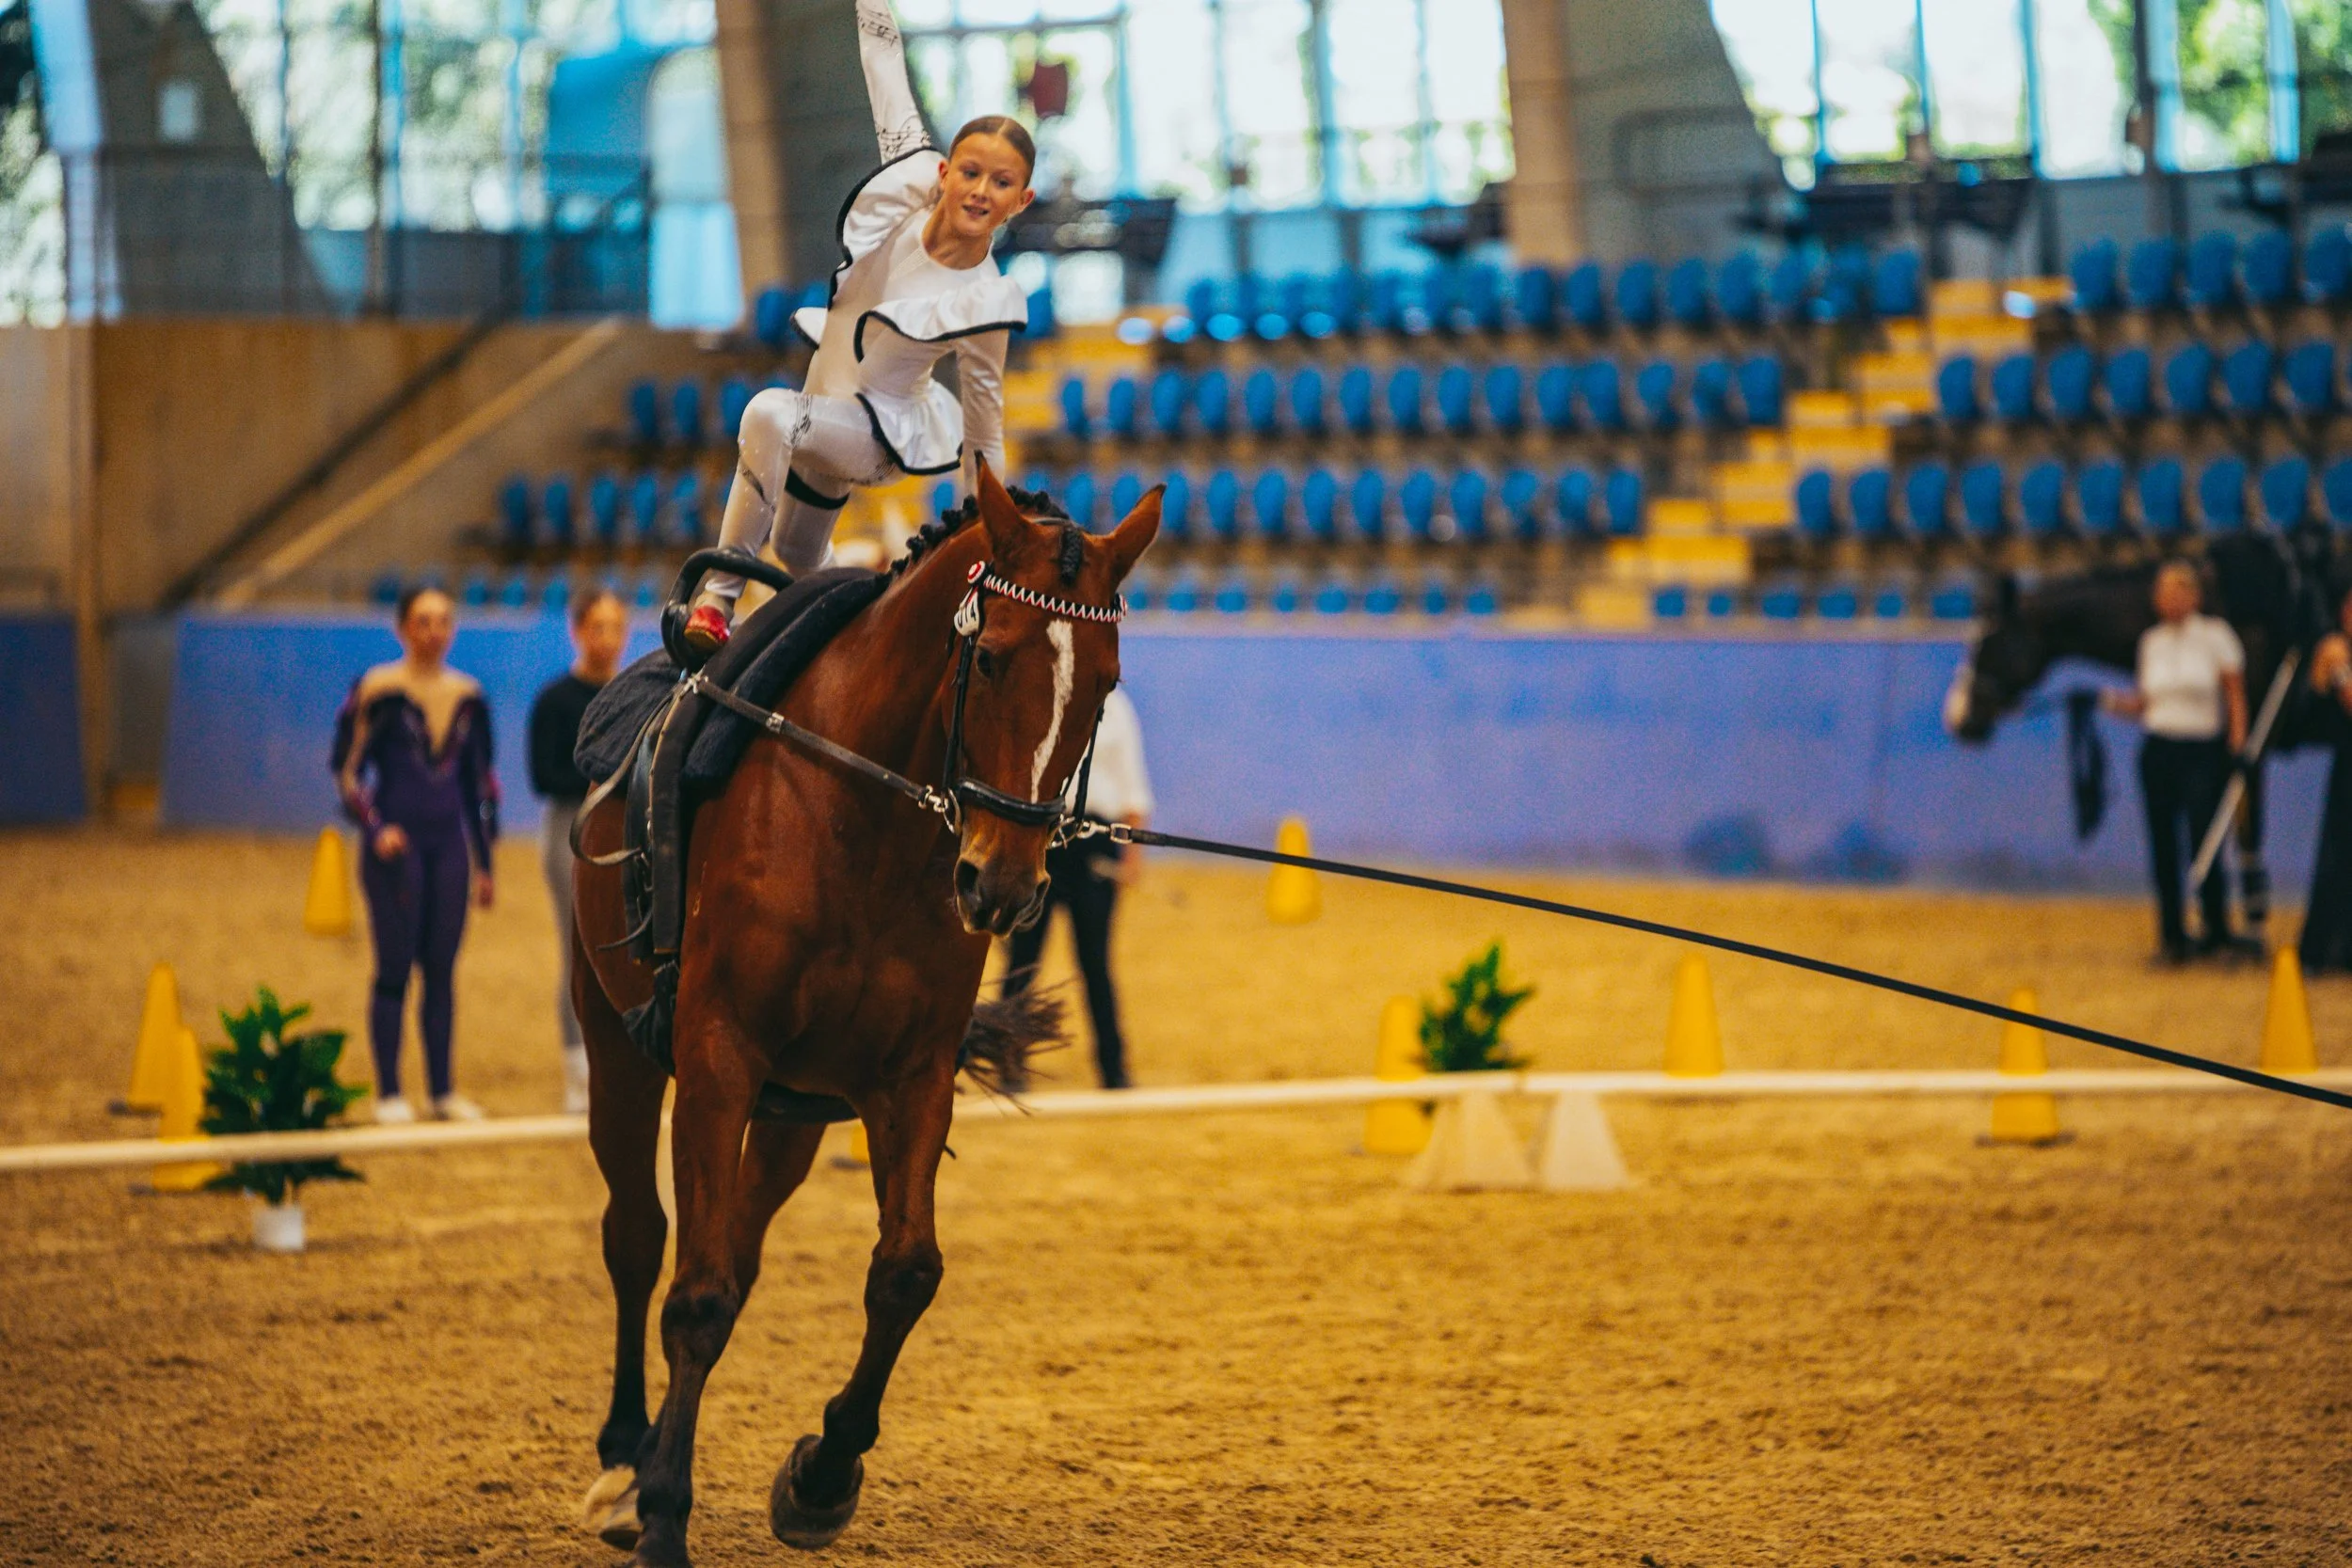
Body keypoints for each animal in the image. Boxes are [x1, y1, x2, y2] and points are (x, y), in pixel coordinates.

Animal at [567, 463, 1160, 1567]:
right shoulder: (716, 1057)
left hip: (794, 1111)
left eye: (1102, 682)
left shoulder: (908, 1076)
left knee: (737, 1246)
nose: (1003, 886)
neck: (863, 817)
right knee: (638, 1237)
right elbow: (694, 1292)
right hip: (620, 1053)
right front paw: (665, 1510)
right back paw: (625, 1462)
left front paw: (820, 1473)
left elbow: (904, 1272)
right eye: (995, 657)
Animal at [1942, 529, 2349, 937]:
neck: (2220, 601)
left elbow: (2243, 827)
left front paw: (2250, 924)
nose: (1956, 716)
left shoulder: (2249, 743)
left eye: (1988, 643)